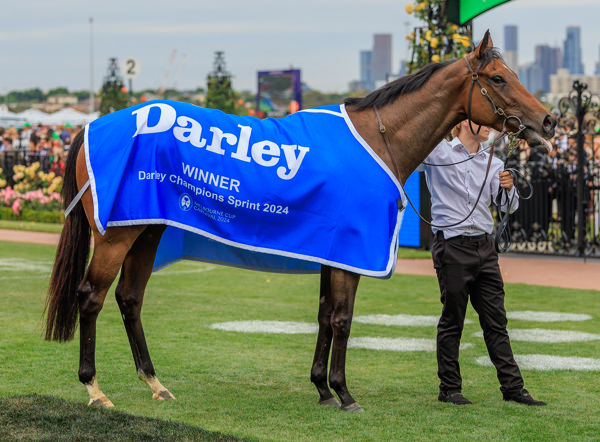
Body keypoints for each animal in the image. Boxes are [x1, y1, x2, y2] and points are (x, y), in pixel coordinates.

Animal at [44, 32, 556, 412]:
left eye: (514, 74)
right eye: (498, 78)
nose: (548, 122)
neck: (378, 140)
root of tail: (90, 127)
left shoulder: (333, 248)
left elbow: (326, 316)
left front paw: (322, 388)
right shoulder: (352, 248)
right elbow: (343, 318)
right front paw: (345, 393)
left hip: (148, 228)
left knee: (130, 299)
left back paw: (155, 384)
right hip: (115, 235)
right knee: (91, 297)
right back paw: (94, 389)